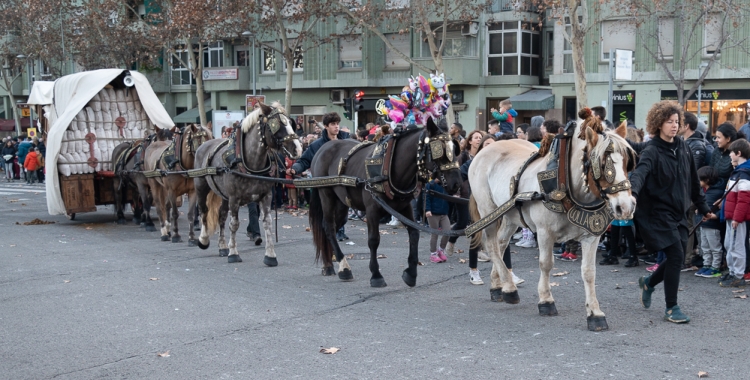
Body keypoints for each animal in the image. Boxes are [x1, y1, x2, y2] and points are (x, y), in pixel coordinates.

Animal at [194, 104, 302, 264]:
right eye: (276, 124)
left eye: (290, 123)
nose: (298, 149)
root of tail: (204, 144)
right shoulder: (234, 198)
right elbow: (234, 224)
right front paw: (233, 253)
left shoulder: (266, 196)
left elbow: (267, 223)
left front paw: (270, 255)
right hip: (201, 186)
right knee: (204, 211)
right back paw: (203, 239)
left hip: (224, 196)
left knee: (221, 216)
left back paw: (222, 246)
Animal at [306, 117, 462, 286]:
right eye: (439, 150)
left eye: (454, 150)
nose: (456, 184)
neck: (390, 166)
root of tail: (323, 148)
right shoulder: (372, 210)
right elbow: (374, 240)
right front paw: (376, 275)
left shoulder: (403, 207)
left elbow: (414, 234)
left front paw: (411, 273)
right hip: (326, 195)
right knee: (328, 227)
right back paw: (343, 267)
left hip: (342, 204)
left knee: (334, 226)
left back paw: (328, 264)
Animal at [472, 111, 636, 332]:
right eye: (603, 165)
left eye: (627, 161)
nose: (626, 207)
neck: (566, 184)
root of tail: (485, 149)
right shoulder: (544, 232)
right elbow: (546, 263)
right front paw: (546, 300)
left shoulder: (591, 235)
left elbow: (589, 272)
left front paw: (595, 313)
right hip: (488, 210)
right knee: (491, 245)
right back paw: (509, 287)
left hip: (509, 216)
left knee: (500, 243)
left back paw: (498, 286)